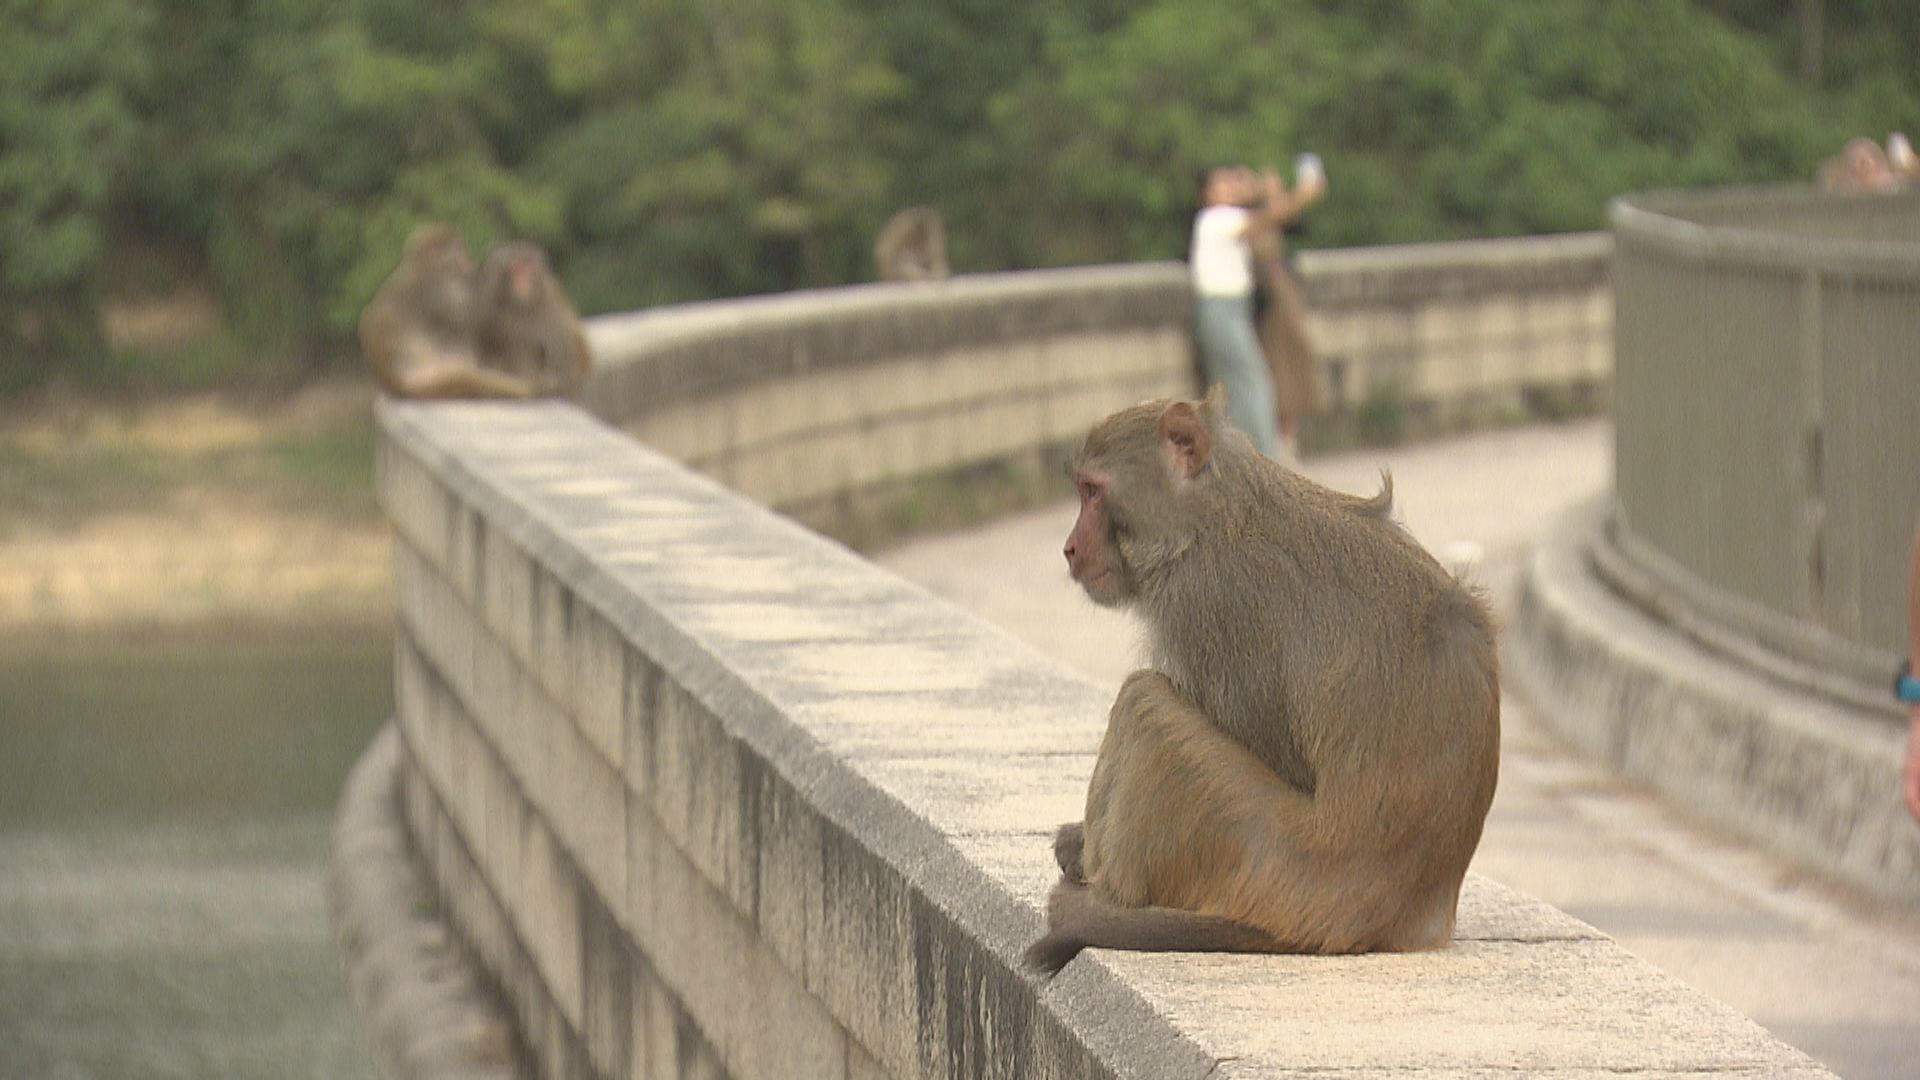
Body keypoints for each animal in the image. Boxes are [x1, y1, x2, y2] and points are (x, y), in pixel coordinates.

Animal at [357, 224, 541, 401]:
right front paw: (498, 260)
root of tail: (398, 387)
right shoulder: (435, 288)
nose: (468, 259)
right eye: (458, 251)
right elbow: (469, 313)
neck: (422, 267)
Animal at [1029, 388, 1505, 976]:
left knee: (1144, 703)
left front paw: (1078, 851)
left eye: (1093, 492)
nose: (1070, 548)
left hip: (1262, 848)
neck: (1214, 518)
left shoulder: (1210, 604)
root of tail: (1389, 911)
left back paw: (1103, 897)